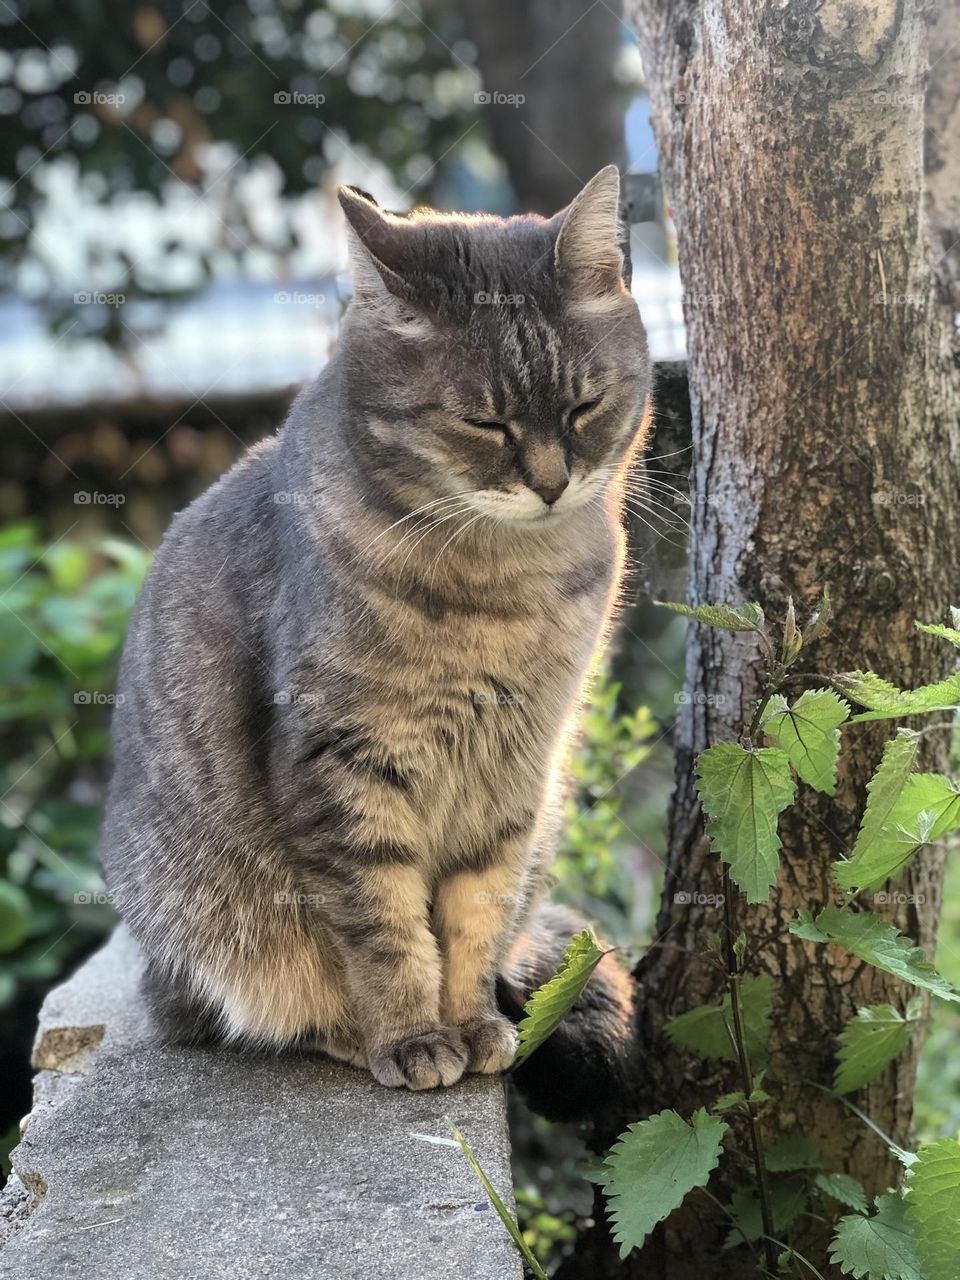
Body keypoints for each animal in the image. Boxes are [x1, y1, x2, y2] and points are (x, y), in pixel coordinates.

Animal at [101, 162, 650, 1090]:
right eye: (483, 422)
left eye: (584, 407)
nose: (549, 483)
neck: (505, 587)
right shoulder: (343, 764)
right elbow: (385, 925)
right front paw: (411, 1035)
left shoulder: (517, 776)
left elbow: (477, 913)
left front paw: (471, 1021)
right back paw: (349, 1035)